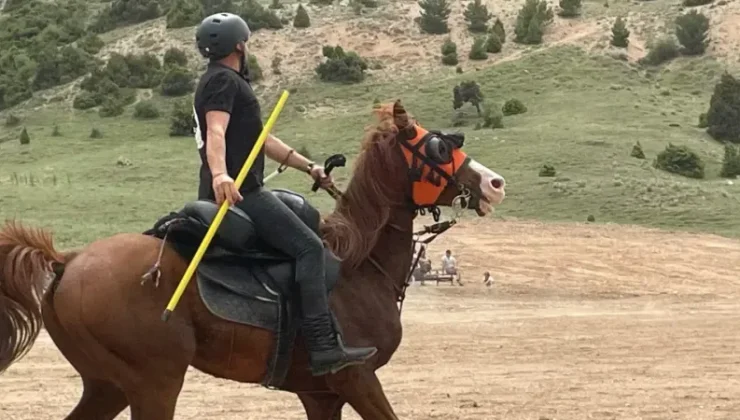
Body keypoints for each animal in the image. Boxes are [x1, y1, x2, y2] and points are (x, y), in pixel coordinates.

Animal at [0, 100, 506, 418]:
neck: (358, 266)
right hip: (154, 383)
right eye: (436, 145)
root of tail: (67, 261)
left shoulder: (320, 395)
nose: (495, 182)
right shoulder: (356, 379)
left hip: (107, 386)